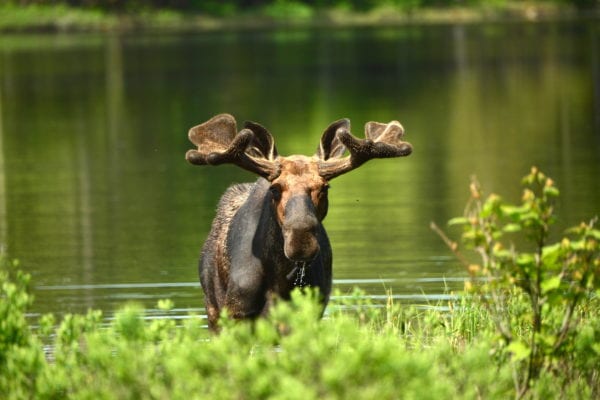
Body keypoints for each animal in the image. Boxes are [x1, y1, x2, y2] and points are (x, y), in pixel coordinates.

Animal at [188, 113, 412, 332]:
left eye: (325, 187)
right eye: (275, 188)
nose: (301, 241)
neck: (278, 279)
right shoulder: (236, 314)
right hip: (213, 310)